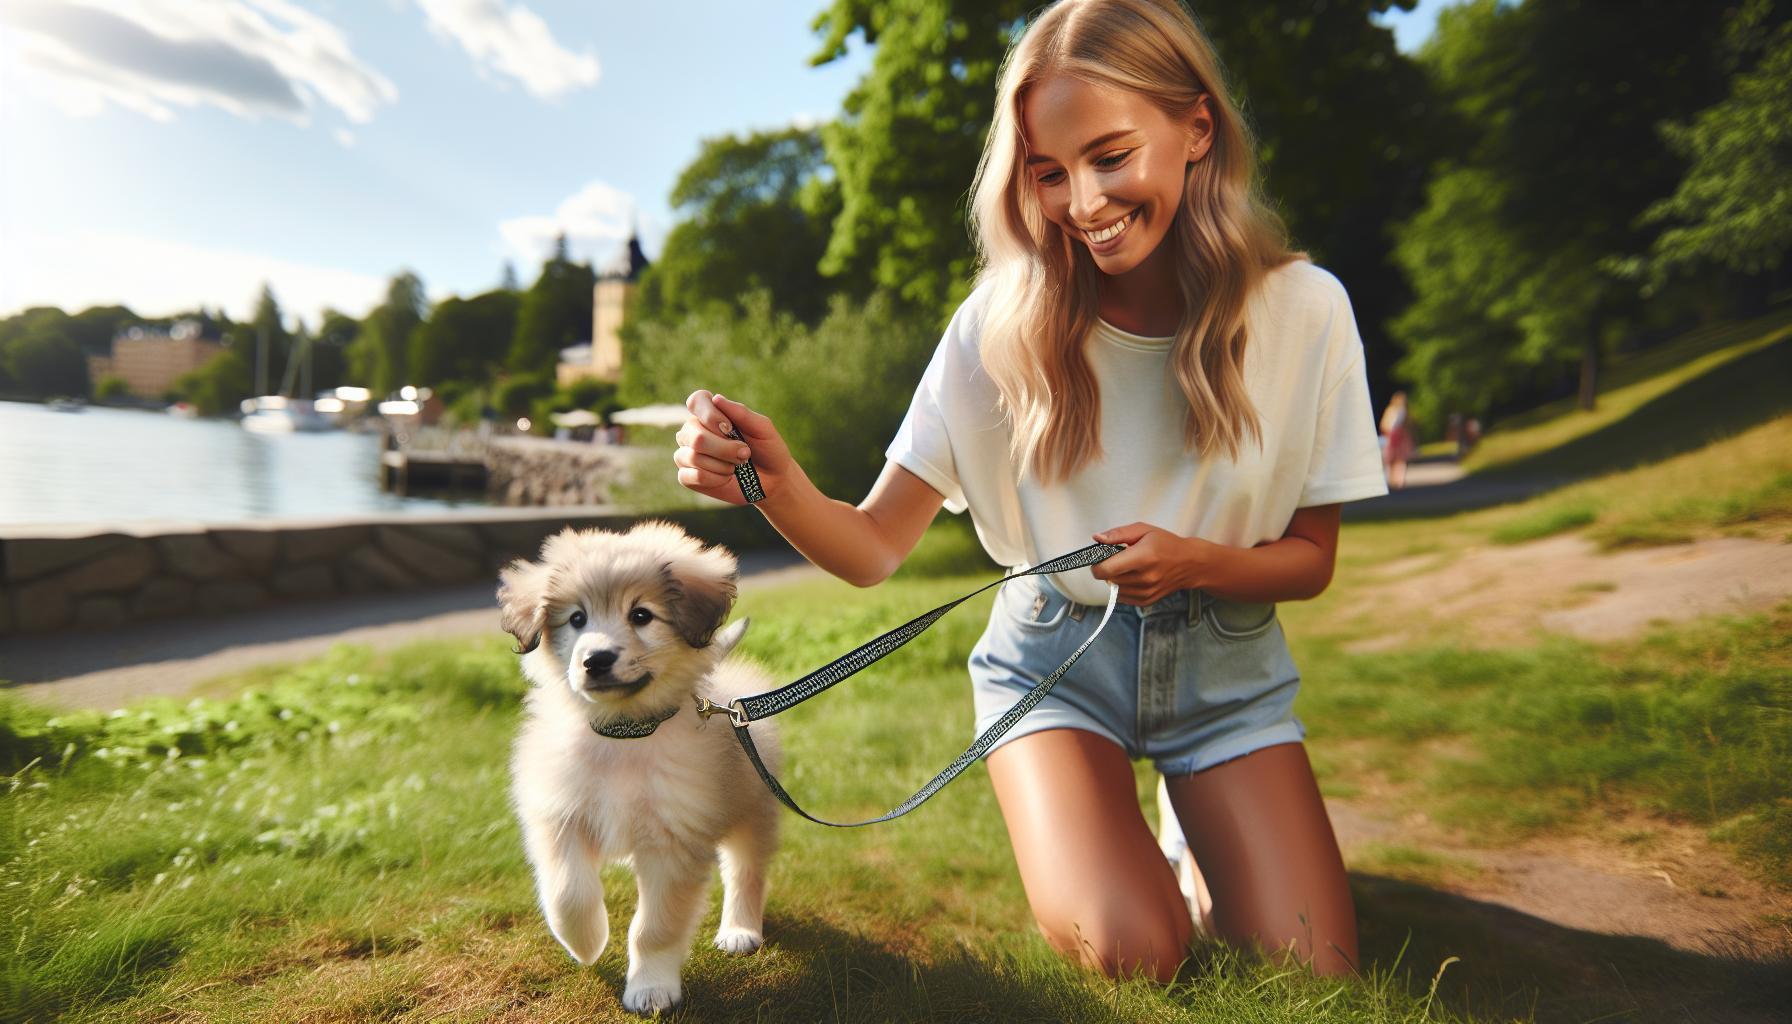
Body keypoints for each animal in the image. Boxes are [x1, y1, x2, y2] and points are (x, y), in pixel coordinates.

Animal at [505, 520, 784, 1018]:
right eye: (577, 619)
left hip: (752, 810)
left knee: (746, 872)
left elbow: (654, 927)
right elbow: (567, 894)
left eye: (641, 615)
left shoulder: (672, 842)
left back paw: (740, 929)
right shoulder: (559, 818)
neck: (624, 736)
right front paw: (586, 943)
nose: (595, 660)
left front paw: (651, 988)